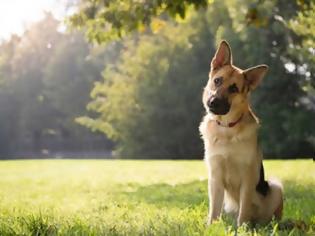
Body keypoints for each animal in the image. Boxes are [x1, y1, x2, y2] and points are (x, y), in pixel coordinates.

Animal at [201, 40, 286, 227]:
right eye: (217, 81)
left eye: (234, 89)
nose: (213, 102)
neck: (227, 128)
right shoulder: (215, 178)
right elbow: (214, 210)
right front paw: (211, 227)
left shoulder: (248, 179)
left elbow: (244, 209)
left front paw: (242, 229)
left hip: (275, 187)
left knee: (267, 217)